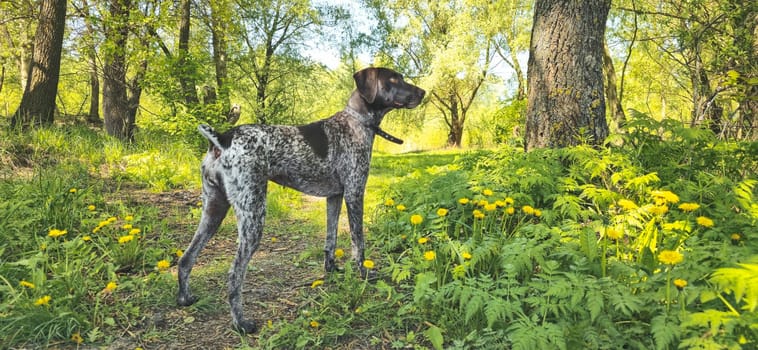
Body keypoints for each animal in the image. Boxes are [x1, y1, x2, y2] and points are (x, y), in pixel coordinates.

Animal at [177, 67, 428, 334]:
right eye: (393, 79)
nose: (423, 92)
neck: (356, 122)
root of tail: (222, 139)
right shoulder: (354, 193)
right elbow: (358, 243)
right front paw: (363, 274)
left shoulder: (335, 196)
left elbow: (330, 239)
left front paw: (332, 271)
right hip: (253, 214)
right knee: (234, 274)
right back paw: (241, 323)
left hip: (214, 210)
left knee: (186, 259)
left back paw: (185, 298)